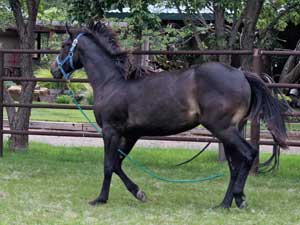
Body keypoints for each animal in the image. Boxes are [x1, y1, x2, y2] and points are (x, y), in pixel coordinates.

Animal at [50, 22, 288, 208]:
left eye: (63, 46)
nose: (53, 70)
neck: (113, 83)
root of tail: (241, 74)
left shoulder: (111, 131)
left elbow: (108, 165)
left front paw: (100, 199)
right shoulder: (131, 134)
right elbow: (117, 163)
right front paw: (139, 193)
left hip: (223, 129)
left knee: (248, 154)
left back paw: (238, 198)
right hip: (230, 130)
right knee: (234, 165)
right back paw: (226, 204)